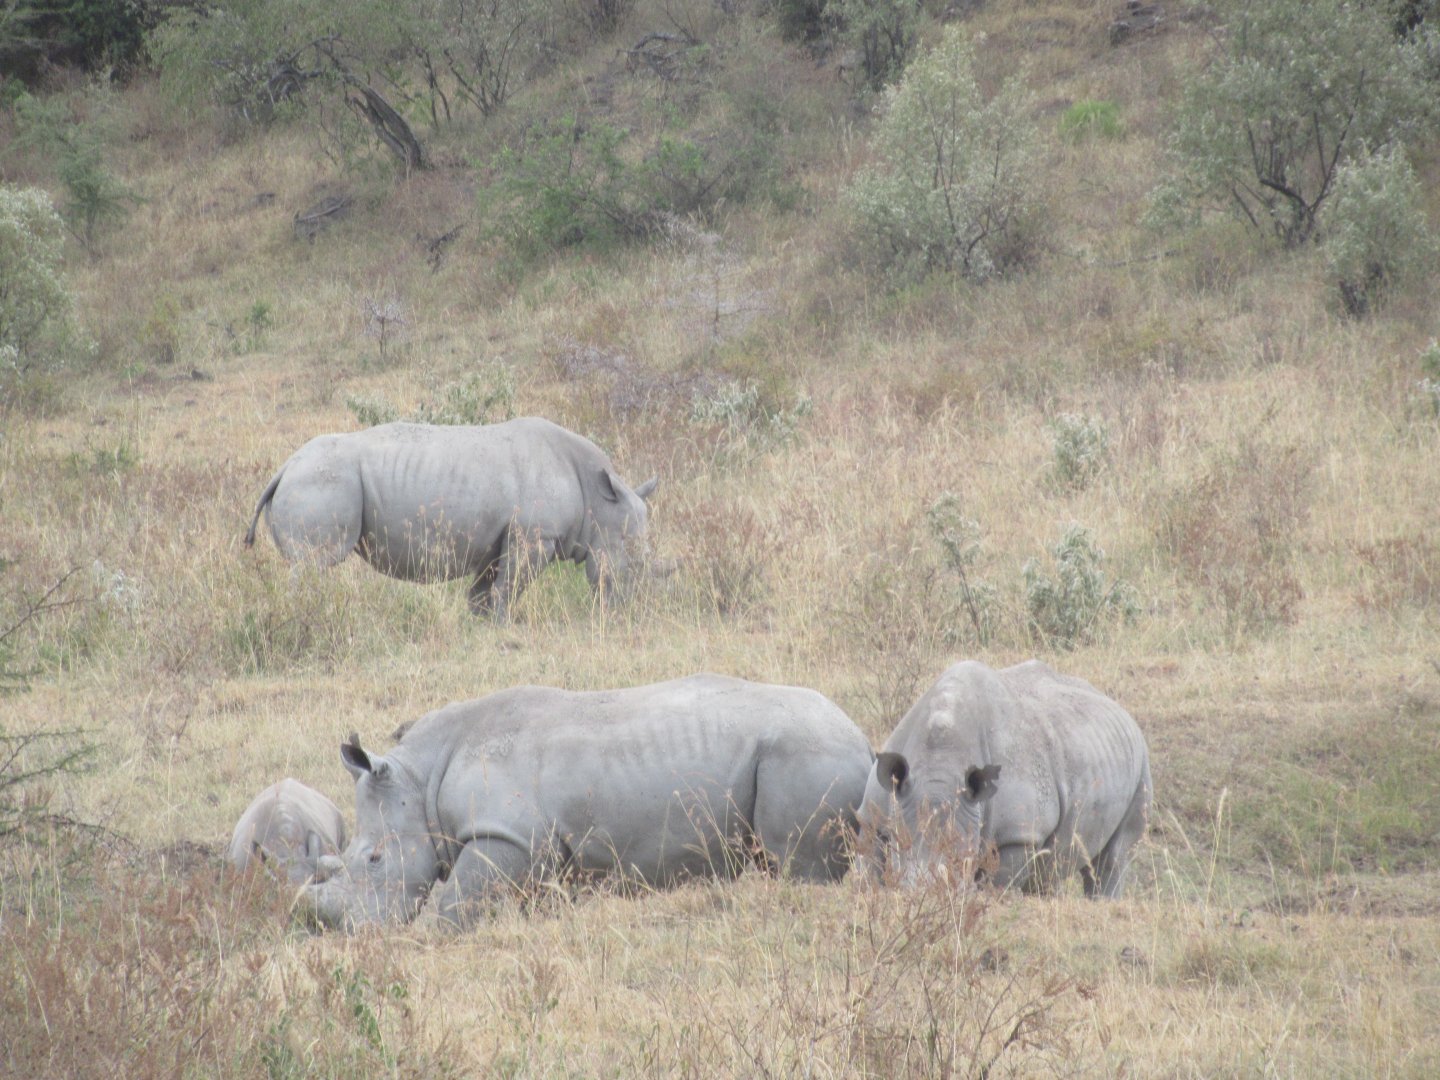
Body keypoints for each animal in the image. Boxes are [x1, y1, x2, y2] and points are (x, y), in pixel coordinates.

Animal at [244, 418, 658, 618]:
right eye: (633, 563)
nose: (630, 611)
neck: (598, 498)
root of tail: (284, 468)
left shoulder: (498, 538)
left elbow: (485, 590)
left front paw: (480, 626)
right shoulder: (535, 536)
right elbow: (510, 587)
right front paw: (503, 627)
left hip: (311, 478)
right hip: (320, 480)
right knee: (314, 562)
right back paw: (307, 614)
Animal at [301, 675, 874, 930]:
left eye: (374, 860)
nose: (340, 930)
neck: (420, 778)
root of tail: (862, 740)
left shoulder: (507, 835)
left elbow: (456, 904)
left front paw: (437, 939)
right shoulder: (537, 851)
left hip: (804, 753)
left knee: (800, 867)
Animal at [859, 660, 1151, 898]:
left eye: (962, 857)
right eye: (898, 843)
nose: (924, 895)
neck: (939, 765)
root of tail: (1123, 711)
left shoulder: (1018, 834)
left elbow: (997, 883)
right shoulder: (874, 813)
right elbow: (870, 864)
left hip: (1141, 763)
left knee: (1114, 856)